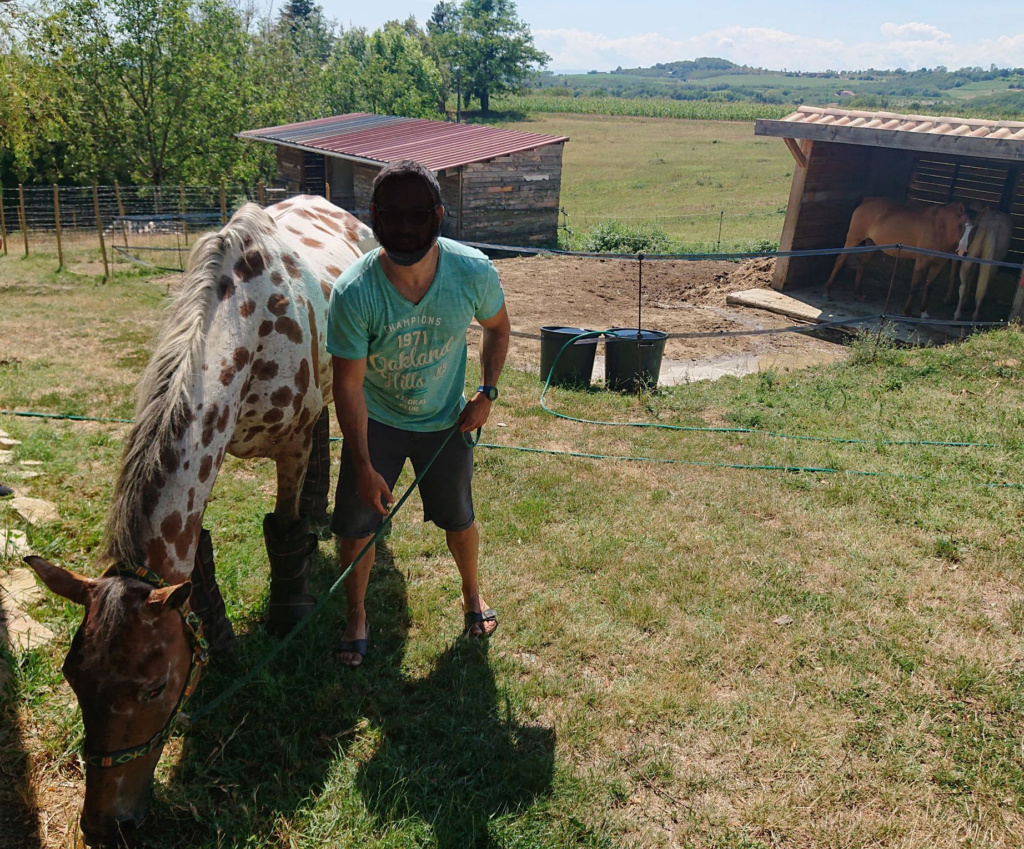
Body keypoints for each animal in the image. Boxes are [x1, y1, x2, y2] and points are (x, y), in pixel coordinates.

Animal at [25, 193, 374, 847]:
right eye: (71, 675)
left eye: (156, 686)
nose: (105, 826)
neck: (249, 327)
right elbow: (199, 562)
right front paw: (225, 645)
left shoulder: (290, 445)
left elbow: (286, 529)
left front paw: (290, 611)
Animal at [819, 196, 970, 315]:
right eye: (960, 225)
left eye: (973, 229)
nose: (963, 251)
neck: (939, 227)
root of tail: (867, 200)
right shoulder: (922, 261)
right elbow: (915, 285)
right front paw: (907, 311)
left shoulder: (939, 264)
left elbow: (929, 287)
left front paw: (924, 312)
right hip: (853, 239)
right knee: (840, 260)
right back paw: (827, 292)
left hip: (872, 244)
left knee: (862, 263)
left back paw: (858, 294)